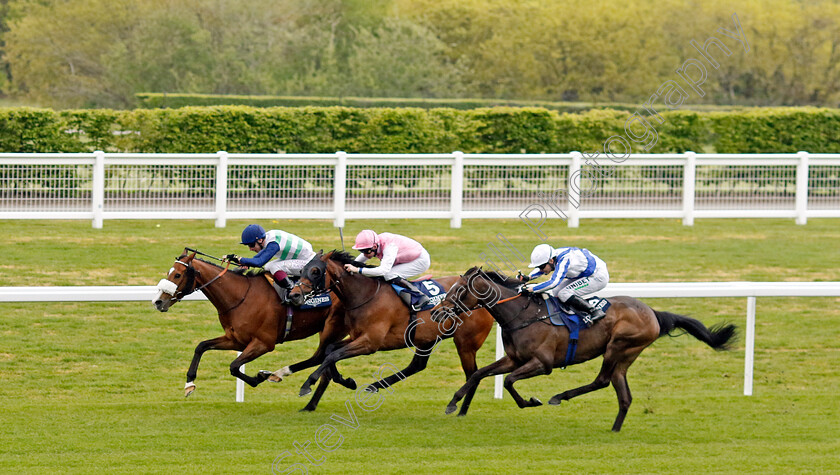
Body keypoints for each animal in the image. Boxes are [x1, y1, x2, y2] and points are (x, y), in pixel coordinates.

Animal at [153, 249, 356, 412]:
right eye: (169, 272)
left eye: (177, 275)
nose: (158, 302)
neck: (241, 296)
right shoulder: (235, 339)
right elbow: (201, 346)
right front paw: (189, 383)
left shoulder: (263, 343)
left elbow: (234, 366)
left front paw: (260, 376)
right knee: (327, 357)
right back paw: (322, 396)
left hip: (332, 326)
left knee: (323, 355)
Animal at [288, 249, 496, 406]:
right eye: (303, 269)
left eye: (316, 271)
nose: (294, 295)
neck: (365, 295)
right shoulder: (356, 337)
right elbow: (330, 351)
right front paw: (346, 381)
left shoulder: (370, 343)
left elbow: (333, 355)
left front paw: (307, 384)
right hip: (427, 338)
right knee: (417, 365)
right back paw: (375, 385)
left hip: (465, 344)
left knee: (472, 374)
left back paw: (461, 410)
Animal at [436, 268, 740, 432]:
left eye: (460, 291)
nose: (438, 312)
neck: (523, 315)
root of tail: (653, 313)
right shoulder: (513, 358)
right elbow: (479, 375)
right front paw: (453, 404)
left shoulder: (542, 364)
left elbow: (510, 381)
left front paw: (531, 401)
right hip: (624, 357)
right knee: (623, 394)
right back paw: (614, 429)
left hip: (619, 347)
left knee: (603, 380)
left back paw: (559, 396)